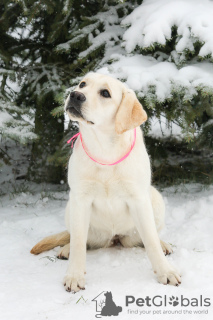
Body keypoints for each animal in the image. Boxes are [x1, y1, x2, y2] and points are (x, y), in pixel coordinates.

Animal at [31, 72, 181, 292]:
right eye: (82, 84)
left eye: (105, 93)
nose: (75, 95)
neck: (105, 150)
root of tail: (114, 238)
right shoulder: (80, 199)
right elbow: (78, 243)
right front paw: (74, 276)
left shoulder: (138, 198)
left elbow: (151, 240)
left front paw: (166, 271)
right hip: (71, 208)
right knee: (75, 238)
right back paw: (66, 249)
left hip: (154, 201)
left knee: (148, 236)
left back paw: (164, 245)